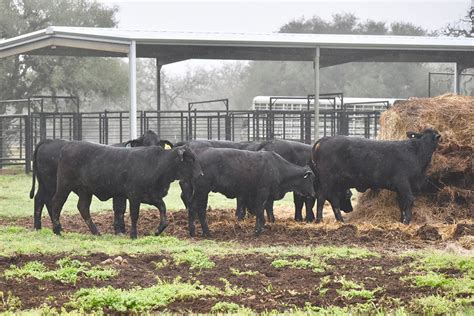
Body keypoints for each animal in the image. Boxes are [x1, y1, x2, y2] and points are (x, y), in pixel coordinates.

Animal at [29, 129, 172, 235]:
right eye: (145, 143)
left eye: (159, 144)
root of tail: (49, 141)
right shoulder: (120, 194)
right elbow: (120, 209)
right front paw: (119, 230)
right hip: (54, 184)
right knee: (49, 201)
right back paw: (50, 228)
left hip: (50, 185)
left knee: (42, 199)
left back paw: (42, 227)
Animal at [183, 148, 316, 237]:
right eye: (310, 179)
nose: (313, 194)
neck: (277, 168)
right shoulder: (262, 192)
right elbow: (260, 210)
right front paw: (257, 230)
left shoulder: (266, 196)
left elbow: (264, 211)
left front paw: (263, 227)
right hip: (202, 190)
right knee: (198, 208)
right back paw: (203, 232)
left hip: (201, 191)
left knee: (196, 207)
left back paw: (197, 232)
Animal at [312, 127, 440, 223]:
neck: (417, 152)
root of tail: (327, 138)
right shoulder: (403, 182)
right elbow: (409, 199)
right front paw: (407, 221)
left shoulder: (400, 188)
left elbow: (401, 203)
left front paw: (401, 220)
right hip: (327, 180)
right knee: (321, 197)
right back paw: (319, 220)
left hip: (335, 183)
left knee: (334, 200)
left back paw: (341, 220)